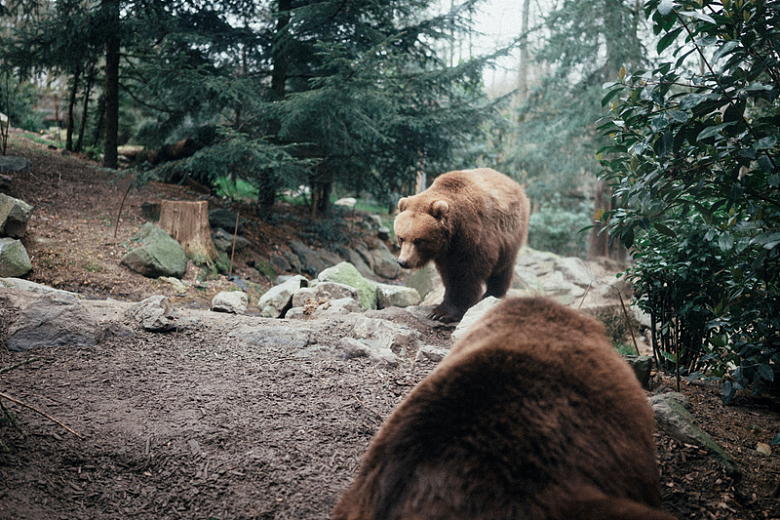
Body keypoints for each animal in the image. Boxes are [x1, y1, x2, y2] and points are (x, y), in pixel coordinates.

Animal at [394, 168, 530, 322]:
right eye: (401, 238)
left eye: (418, 241)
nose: (403, 262)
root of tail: (513, 182)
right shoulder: (446, 252)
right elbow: (448, 273)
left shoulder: (475, 238)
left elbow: (465, 275)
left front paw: (441, 312)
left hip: (510, 234)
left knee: (502, 269)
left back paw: (492, 294)